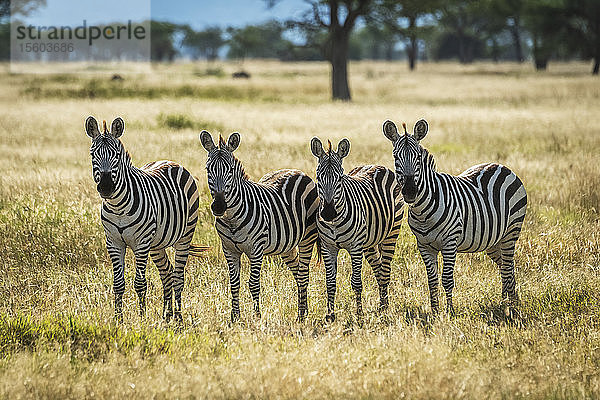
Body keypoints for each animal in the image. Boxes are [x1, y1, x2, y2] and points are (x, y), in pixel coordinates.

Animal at [83, 115, 207, 322]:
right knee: (167, 273)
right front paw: (118, 320)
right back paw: (167, 314)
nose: (106, 187)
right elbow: (118, 283)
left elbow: (140, 283)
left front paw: (142, 318)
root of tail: (170, 161)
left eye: (116, 155)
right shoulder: (114, 242)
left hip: (184, 235)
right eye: (93, 155)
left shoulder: (141, 243)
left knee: (178, 277)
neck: (118, 206)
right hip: (157, 244)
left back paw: (178, 316)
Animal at [199, 131, 322, 322]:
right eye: (208, 169)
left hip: (307, 238)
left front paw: (257, 317)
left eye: (230, 170)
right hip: (287, 245)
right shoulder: (229, 249)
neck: (231, 219)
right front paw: (235, 318)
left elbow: (253, 284)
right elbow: (234, 283)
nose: (218, 206)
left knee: (303, 274)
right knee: (297, 272)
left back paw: (301, 316)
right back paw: (303, 310)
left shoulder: (256, 249)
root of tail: (298, 171)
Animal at [310, 138, 404, 322]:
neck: (334, 223)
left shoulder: (355, 247)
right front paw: (330, 315)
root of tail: (375, 165)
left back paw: (384, 308)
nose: (328, 212)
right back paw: (381, 304)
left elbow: (356, 282)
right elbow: (330, 282)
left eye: (340, 178)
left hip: (391, 234)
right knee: (378, 269)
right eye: (318, 178)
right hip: (370, 243)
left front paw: (359, 315)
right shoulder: (327, 247)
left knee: (385, 271)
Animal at [382, 119, 528, 316]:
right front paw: (435, 311)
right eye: (396, 157)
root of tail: (502, 166)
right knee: (506, 268)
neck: (422, 212)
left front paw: (449, 312)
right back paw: (507, 302)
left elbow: (446, 279)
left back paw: (510, 306)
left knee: (507, 267)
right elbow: (432, 280)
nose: (410, 191)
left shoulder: (449, 243)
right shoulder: (424, 246)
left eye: (418, 157)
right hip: (494, 240)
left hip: (511, 232)